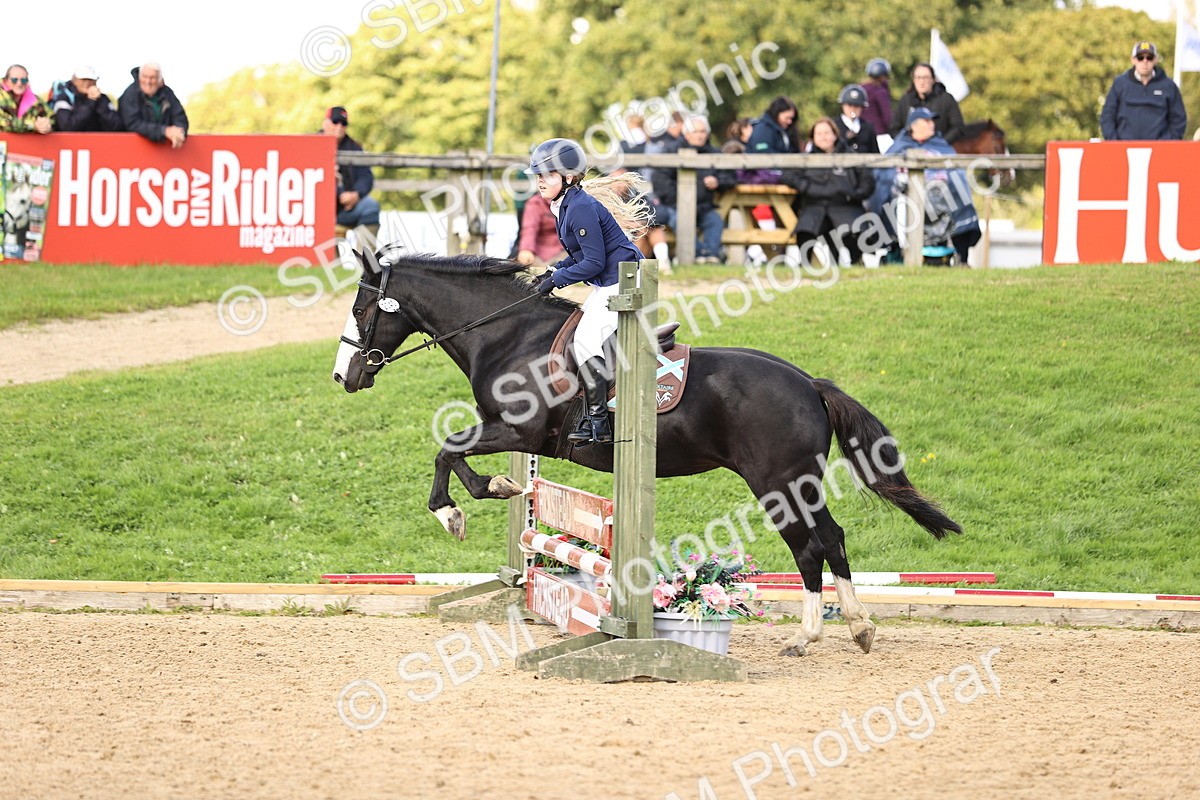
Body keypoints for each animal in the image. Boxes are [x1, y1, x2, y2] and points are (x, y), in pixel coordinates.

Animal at [332, 248, 962, 657]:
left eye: (362, 311)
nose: (344, 377)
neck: (507, 335)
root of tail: (808, 382)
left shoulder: (518, 432)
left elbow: (447, 452)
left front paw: (461, 508)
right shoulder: (509, 433)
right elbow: (457, 456)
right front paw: (501, 489)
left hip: (778, 481)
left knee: (811, 546)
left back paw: (809, 637)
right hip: (795, 482)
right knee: (830, 540)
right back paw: (857, 629)